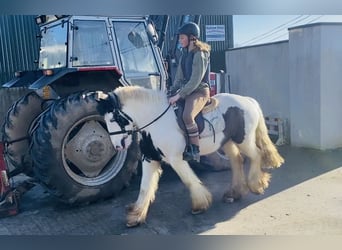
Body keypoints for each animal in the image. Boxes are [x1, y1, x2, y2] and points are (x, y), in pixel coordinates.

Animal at [95, 85, 284, 228]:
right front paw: (135, 216)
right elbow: (144, 187)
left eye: (112, 119)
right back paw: (234, 193)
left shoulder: (176, 159)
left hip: (243, 140)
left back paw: (256, 184)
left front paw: (200, 205)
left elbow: (189, 181)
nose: (118, 146)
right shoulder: (149, 159)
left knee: (256, 155)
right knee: (237, 160)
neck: (156, 121)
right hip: (228, 142)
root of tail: (247, 100)